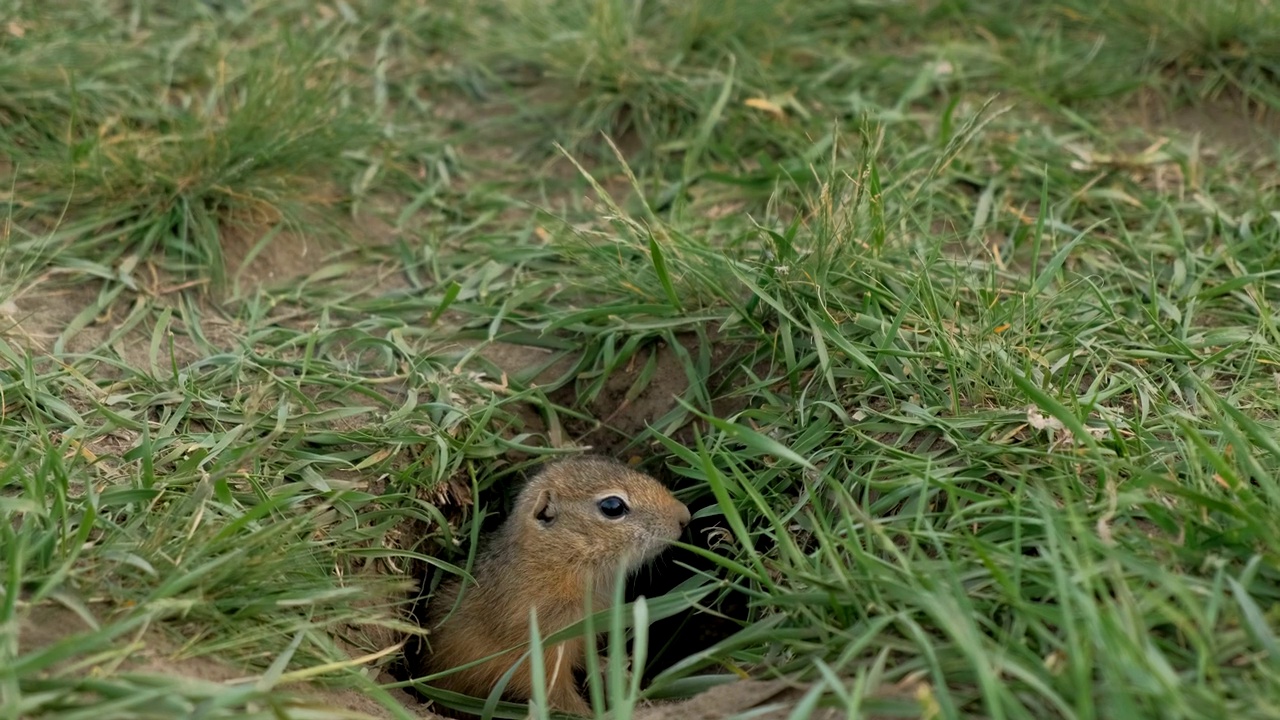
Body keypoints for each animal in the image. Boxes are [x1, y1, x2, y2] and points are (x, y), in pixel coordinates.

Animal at [419, 456, 691, 712]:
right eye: (612, 506)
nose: (684, 515)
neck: (553, 564)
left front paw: (613, 670)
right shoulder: (540, 646)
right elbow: (553, 693)